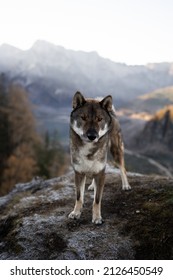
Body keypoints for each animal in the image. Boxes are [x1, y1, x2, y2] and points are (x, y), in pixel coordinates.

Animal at [68, 93, 130, 224]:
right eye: (83, 118)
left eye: (99, 119)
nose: (92, 136)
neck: (88, 149)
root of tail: (112, 113)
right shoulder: (79, 173)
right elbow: (79, 197)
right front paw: (76, 213)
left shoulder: (101, 173)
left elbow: (96, 200)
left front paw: (97, 217)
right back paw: (92, 186)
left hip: (116, 152)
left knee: (122, 168)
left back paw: (126, 185)